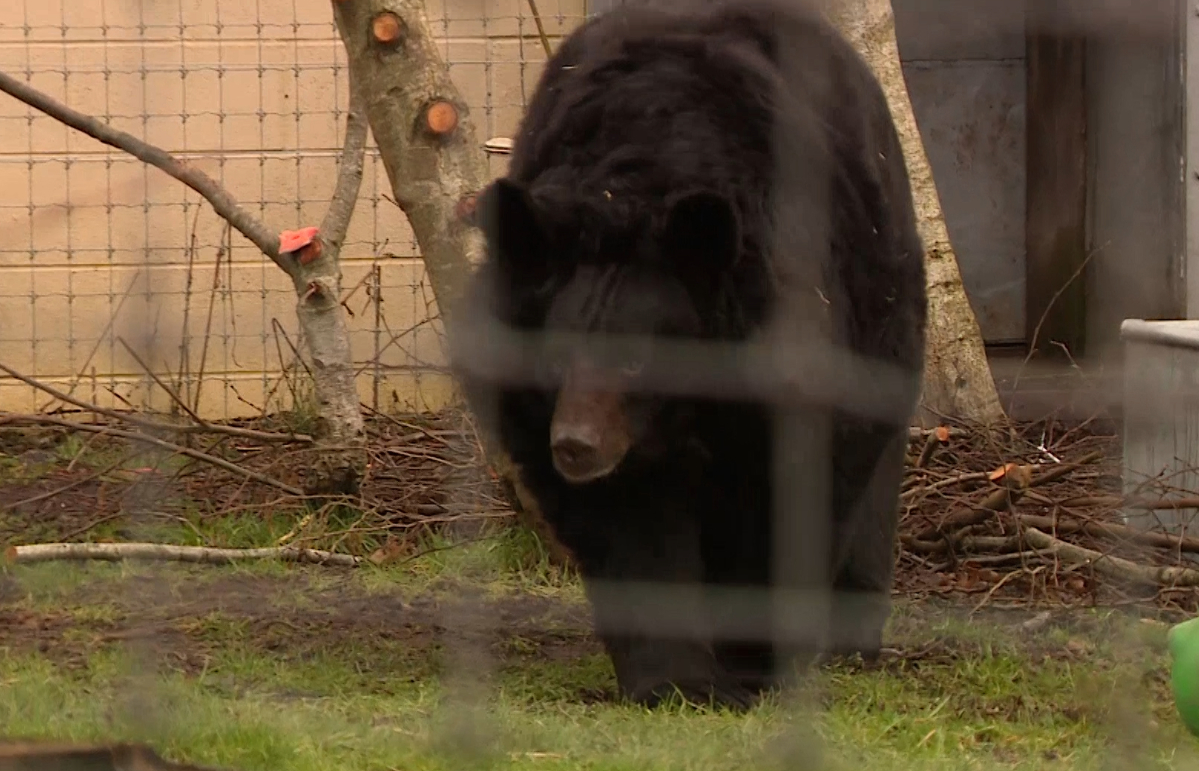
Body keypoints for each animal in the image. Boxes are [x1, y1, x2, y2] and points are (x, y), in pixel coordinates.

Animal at [450, 0, 925, 709]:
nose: (576, 447)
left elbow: (787, 494)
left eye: (636, 362)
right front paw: (674, 680)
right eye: (556, 360)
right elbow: (626, 524)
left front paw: (755, 668)